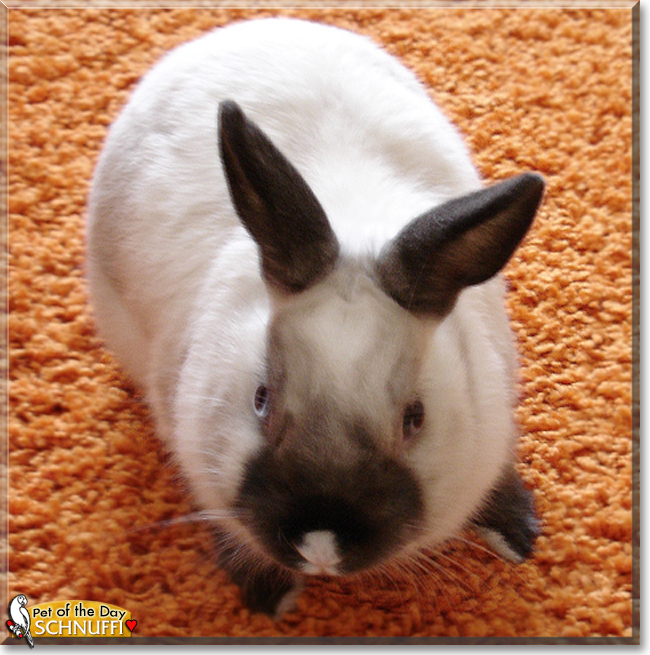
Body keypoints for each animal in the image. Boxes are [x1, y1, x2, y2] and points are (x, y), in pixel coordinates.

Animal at [87, 17, 544, 617]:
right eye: (260, 399)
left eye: (415, 417)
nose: (321, 545)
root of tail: (256, 25)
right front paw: (268, 593)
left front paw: (518, 534)